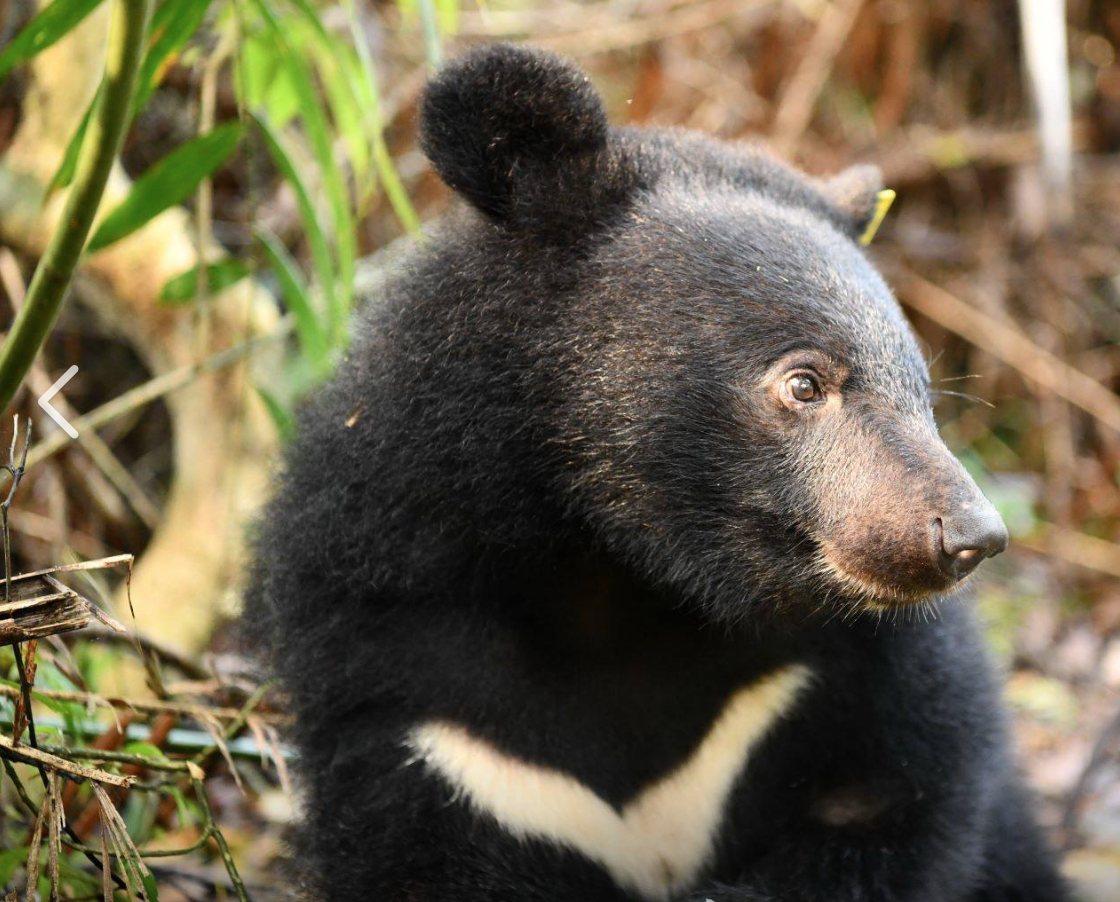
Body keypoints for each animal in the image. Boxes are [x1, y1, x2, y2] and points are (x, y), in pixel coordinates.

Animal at [246, 43, 1069, 902]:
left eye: (922, 389)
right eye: (805, 383)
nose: (970, 536)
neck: (622, 587)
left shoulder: (854, 678)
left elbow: (894, 802)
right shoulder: (424, 703)